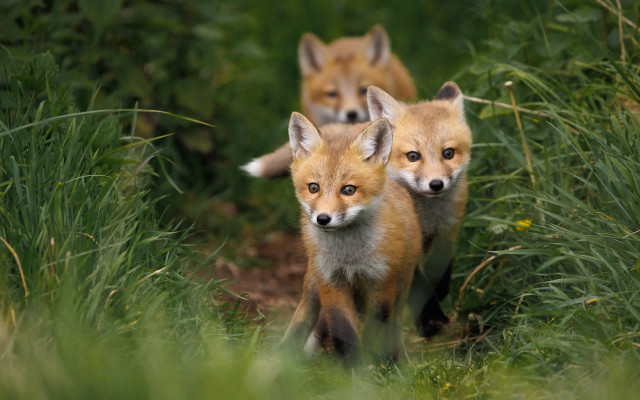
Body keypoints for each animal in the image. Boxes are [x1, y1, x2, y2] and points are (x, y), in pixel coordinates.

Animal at [281, 113, 422, 362]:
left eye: (348, 190)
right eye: (314, 187)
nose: (323, 219)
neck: (350, 257)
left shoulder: (381, 283)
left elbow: (377, 330)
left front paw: (378, 366)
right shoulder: (330, 282)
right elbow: (343, 332)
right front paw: (354, 368)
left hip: (402, 286)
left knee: (393, 324)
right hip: (312, 285)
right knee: (303, 318)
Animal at [366, 81, 472, 338]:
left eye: (448, 153)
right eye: (413, 156)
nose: (436, 184)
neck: (426, 217)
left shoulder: (448, 229)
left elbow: (442, 266)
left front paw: (440, 290)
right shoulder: (402, 242)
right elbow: (420, 284)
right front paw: (433, 320)